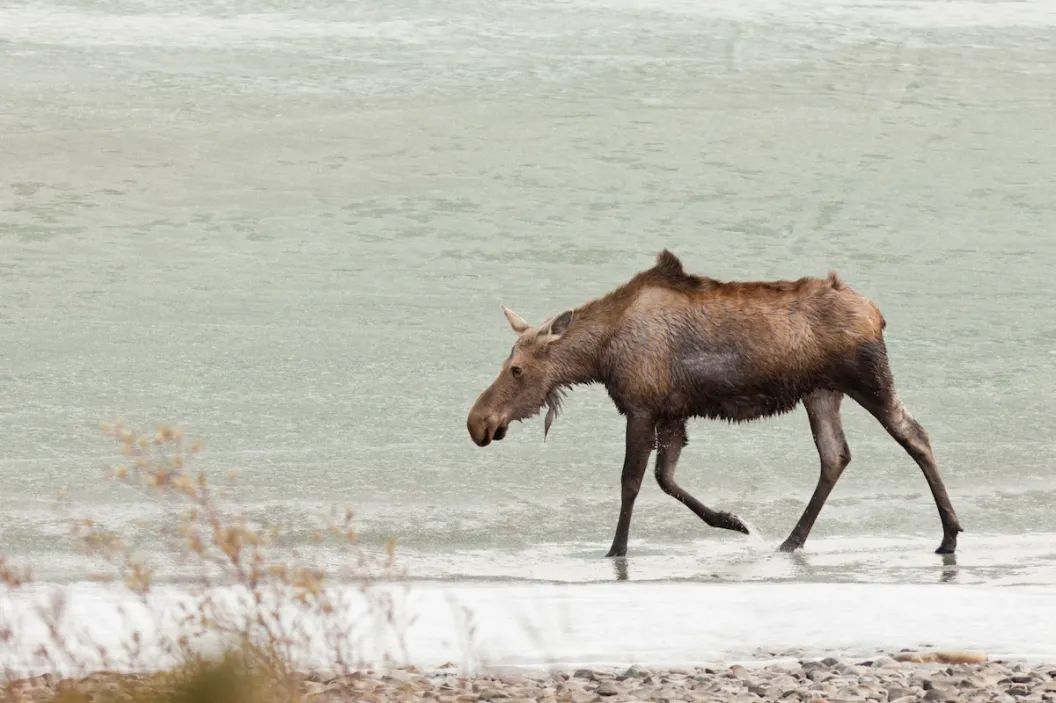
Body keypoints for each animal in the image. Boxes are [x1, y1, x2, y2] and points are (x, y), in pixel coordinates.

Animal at [465, 250, 963, 558]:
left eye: (517, 369)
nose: (477, 422)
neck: (600, 357)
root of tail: (877, 313)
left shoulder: (642, 406)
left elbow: (631, 482)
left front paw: (616, 549)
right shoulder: (673, 413)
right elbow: (666, 479)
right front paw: (734, 521)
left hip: (867, 378)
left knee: (914, 434)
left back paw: (950, 535)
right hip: (821, 392)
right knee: (835, 455)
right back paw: (791, 540)